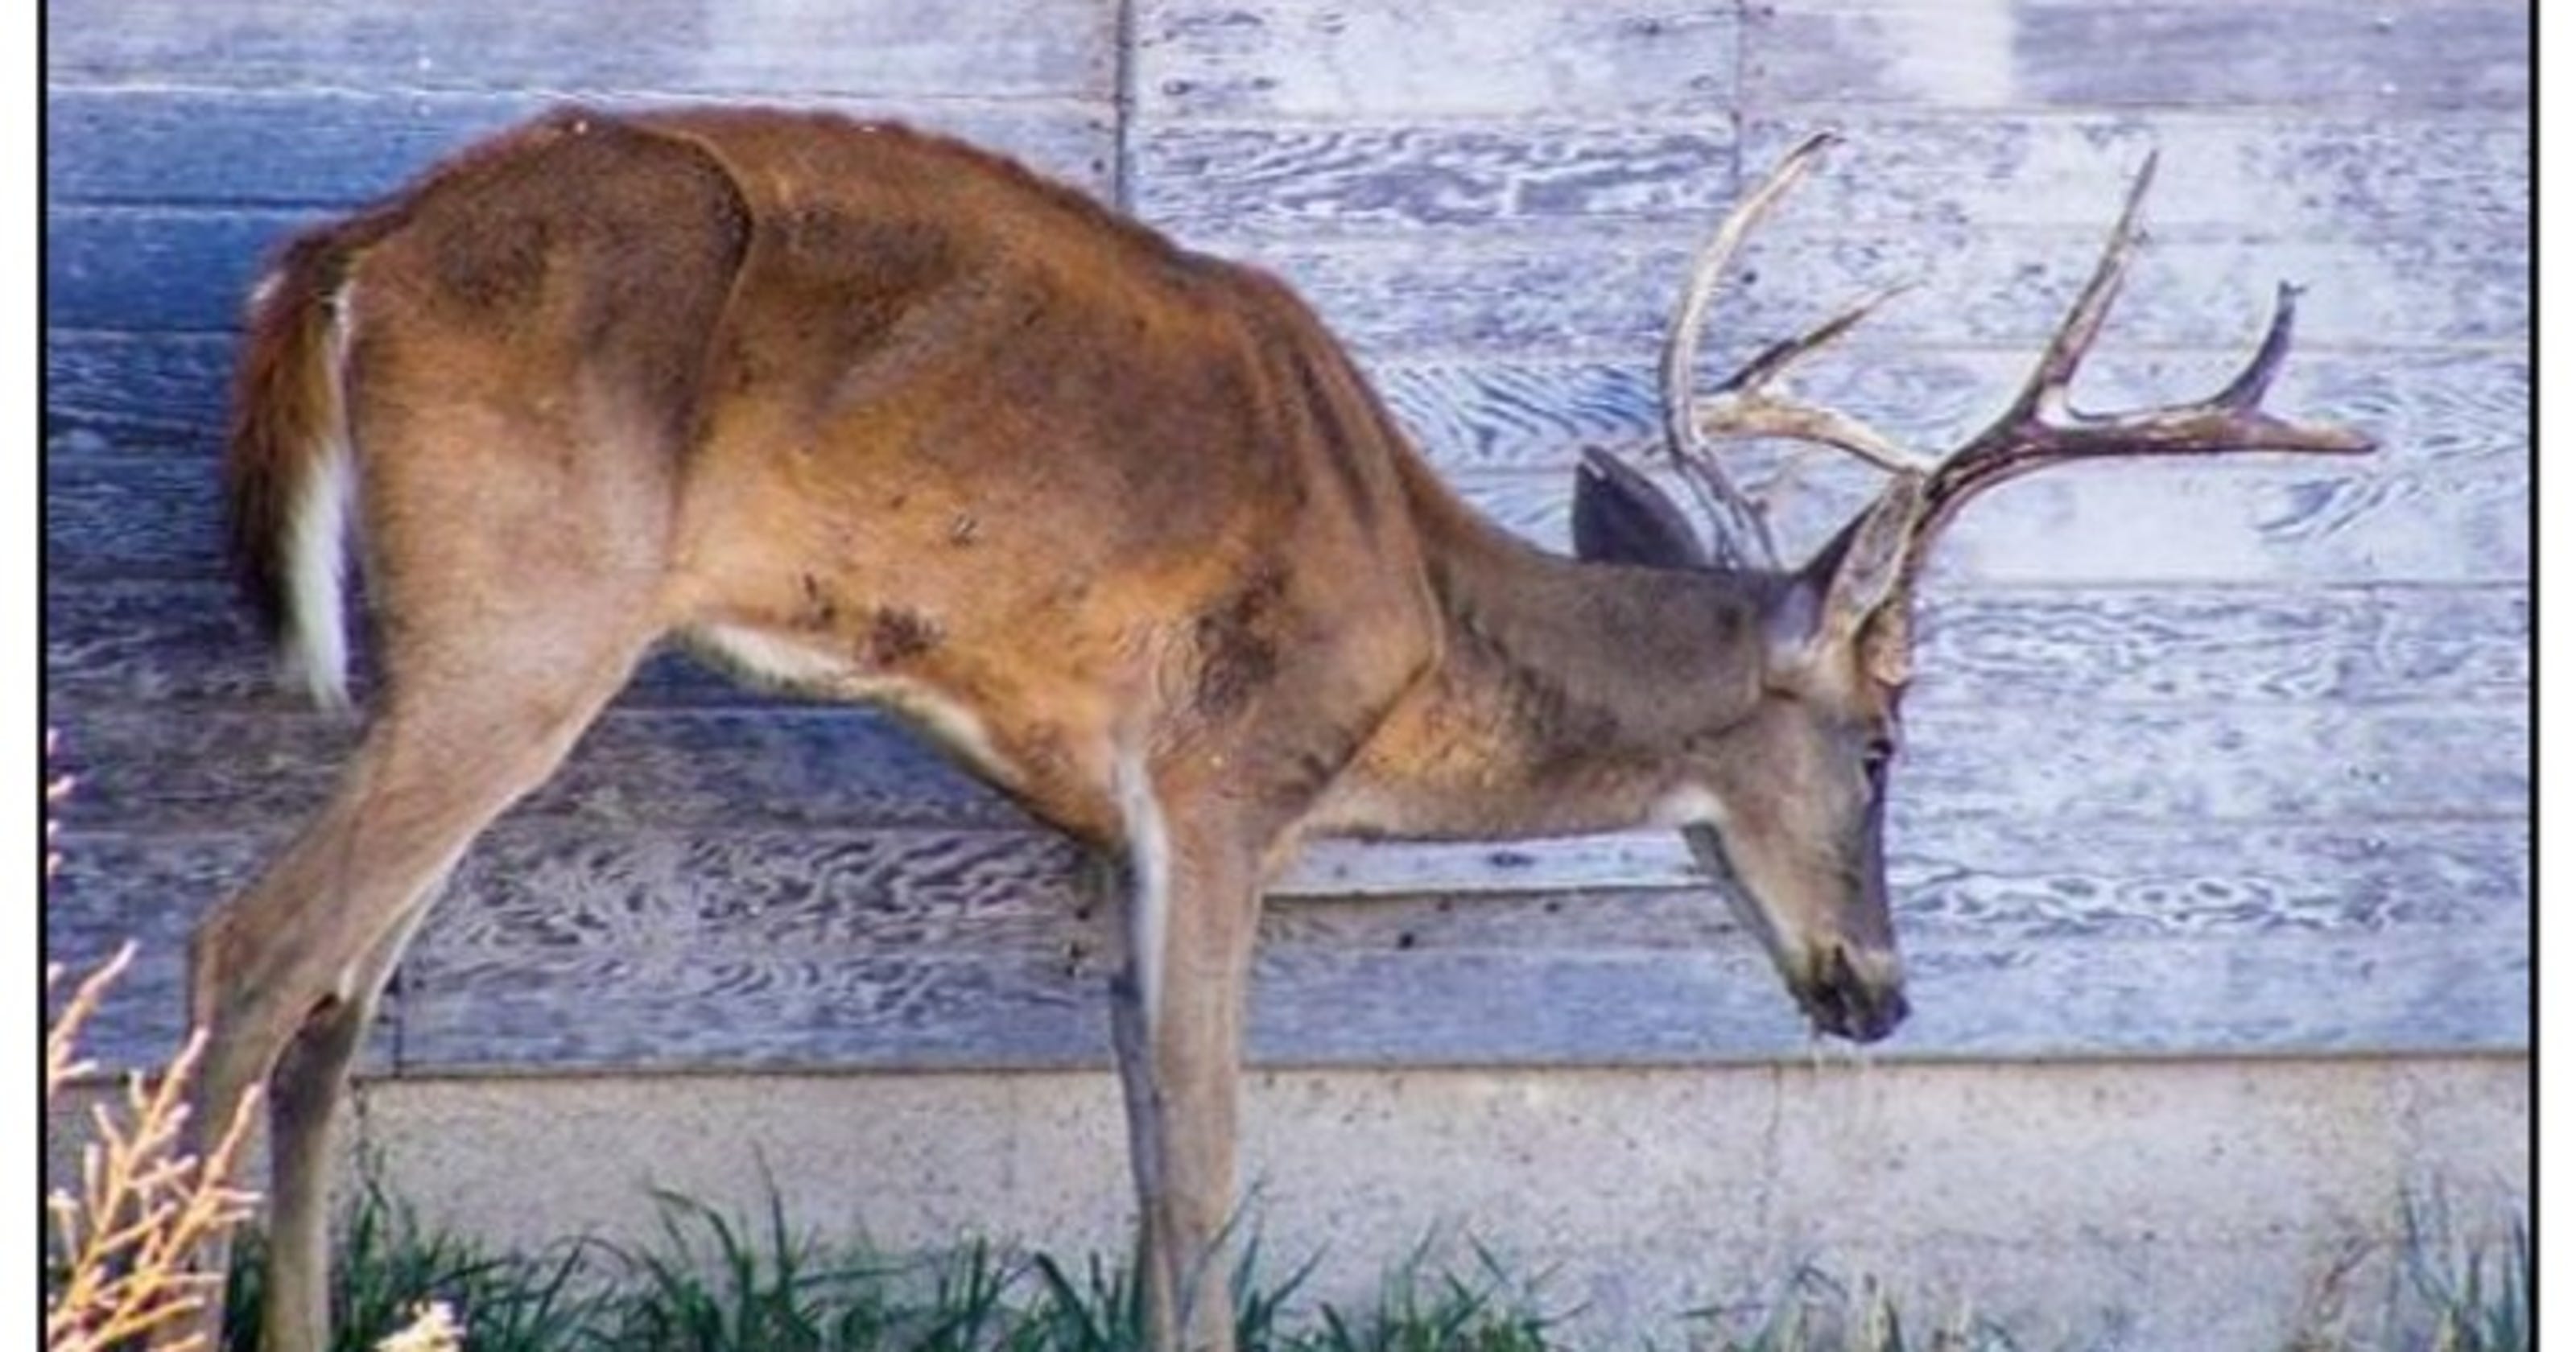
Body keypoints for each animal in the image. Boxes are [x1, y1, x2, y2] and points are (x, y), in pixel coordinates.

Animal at [181, 106, 2369, 1352]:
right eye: (1893, 736)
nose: (1880, 993)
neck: (1414, 611)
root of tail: (345, 258)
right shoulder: (1229, 778)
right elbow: (1209, 1157)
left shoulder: (1104, 826)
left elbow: (1146, 1135)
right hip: (525, 614)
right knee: (251, 948)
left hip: (479, 646)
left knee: (335, 1003)